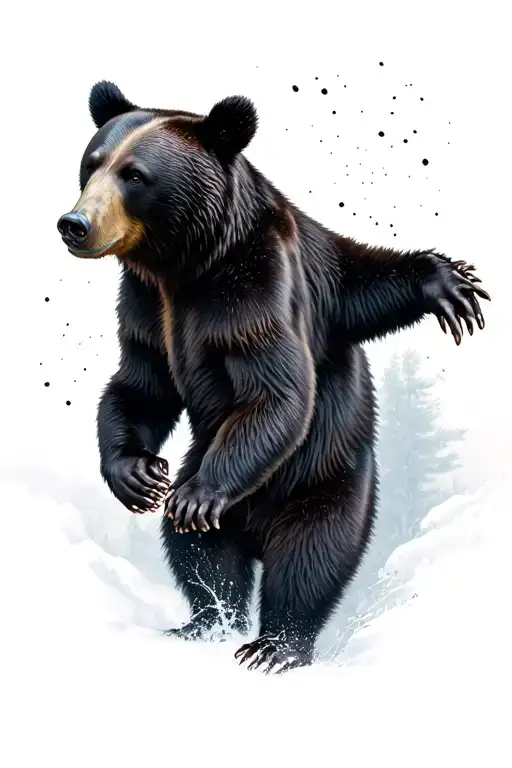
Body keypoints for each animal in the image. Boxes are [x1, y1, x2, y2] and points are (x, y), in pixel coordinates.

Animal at [57, 81, 490, 673]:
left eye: (136, 175)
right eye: (91, 164)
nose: (74, 224)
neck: (186, 267)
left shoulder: (264, 284)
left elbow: (278, 389)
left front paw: (449, 283)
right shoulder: (144, 307)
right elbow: (141, 384)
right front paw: (135, 474)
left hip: (326, 478)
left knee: (309, 558)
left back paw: (275, 645)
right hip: (214, 472)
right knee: (199, 552)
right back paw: (203, 622)